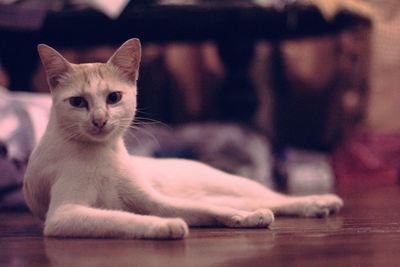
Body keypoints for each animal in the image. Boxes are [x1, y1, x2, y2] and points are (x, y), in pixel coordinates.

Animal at [21, 38, 342, 241]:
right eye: (78, 102)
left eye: (113, 98)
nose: (99, 120)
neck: (104, 155)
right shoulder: (65, 214)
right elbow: (121, 219)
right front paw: (166, 226)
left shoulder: (154, 199)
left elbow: (206, 211)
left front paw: (244, 218)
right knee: (265, 201)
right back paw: (315, 205)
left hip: (231, 185)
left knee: (273, 197)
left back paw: (320, 201)